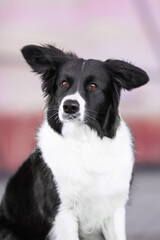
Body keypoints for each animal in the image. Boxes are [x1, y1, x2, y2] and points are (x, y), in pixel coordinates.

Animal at [0, 45, 149, 240]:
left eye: (93, 86)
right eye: (64, 84)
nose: (70, 106)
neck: (86, 141)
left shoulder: (114, 209)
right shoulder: (62, 212)